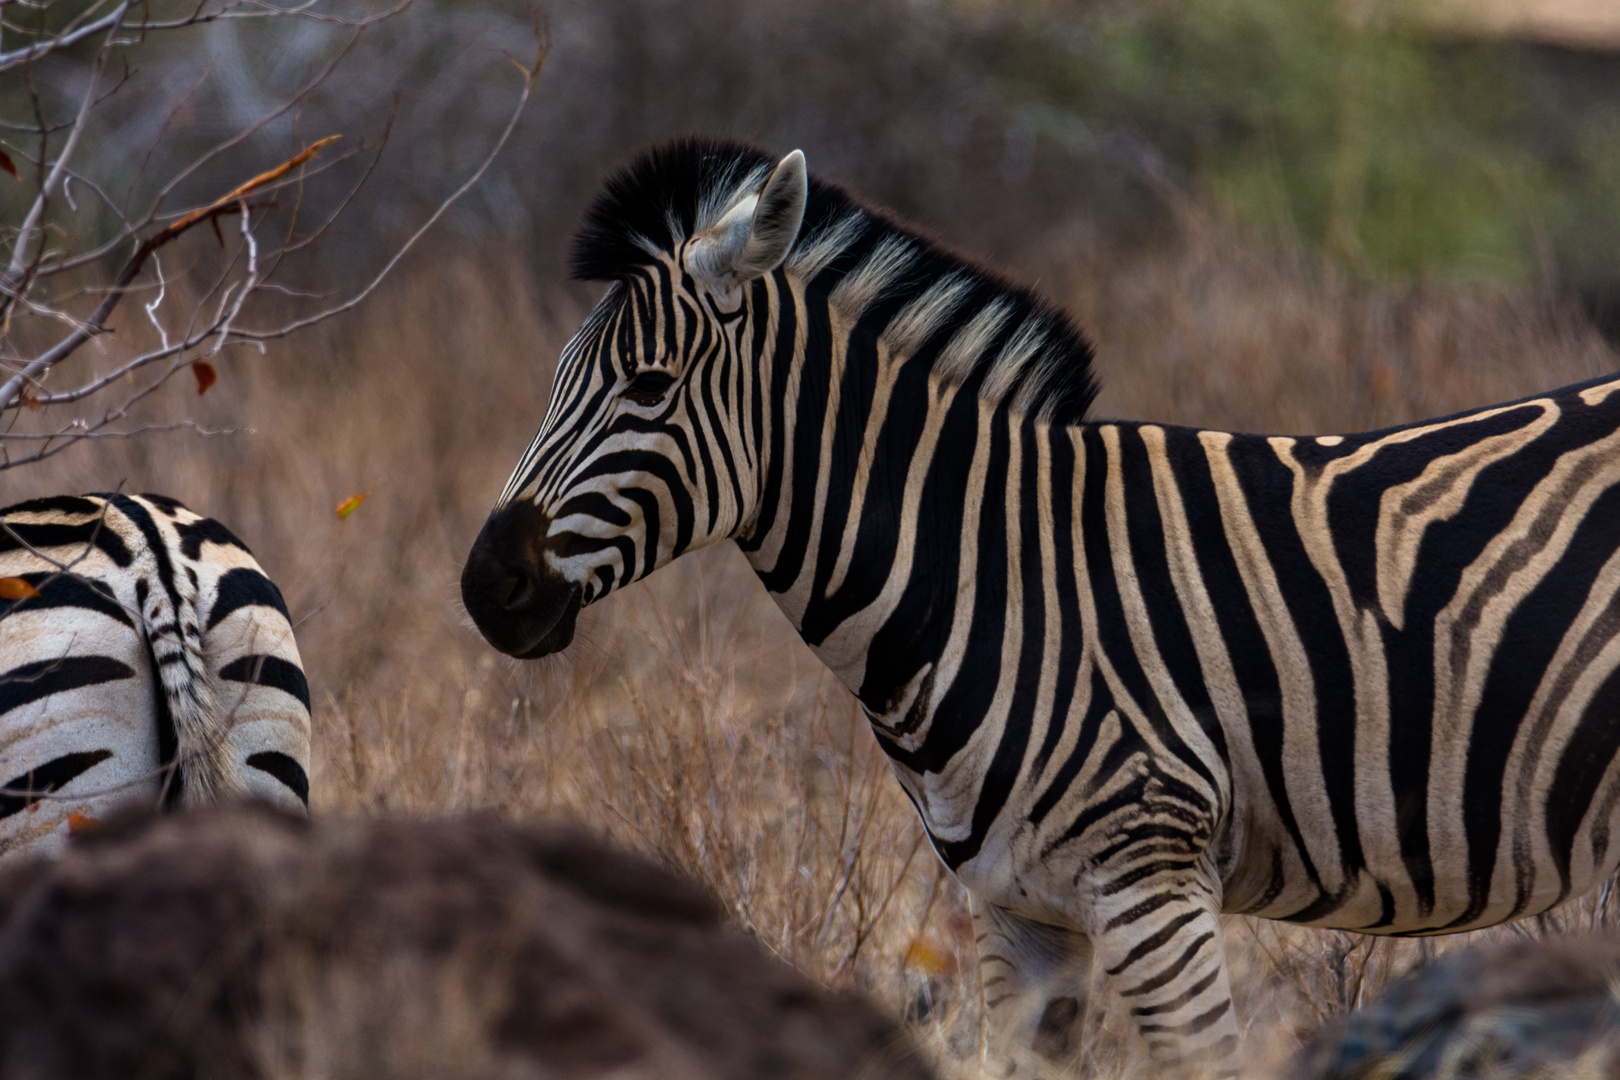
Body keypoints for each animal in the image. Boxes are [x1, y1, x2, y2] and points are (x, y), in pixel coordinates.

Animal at [460, 139, 1620, 1075]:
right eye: (556, 377)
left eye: (650, 387)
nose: (486, 587)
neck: (992, 575)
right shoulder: (1016, 912)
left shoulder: (1155, 887)